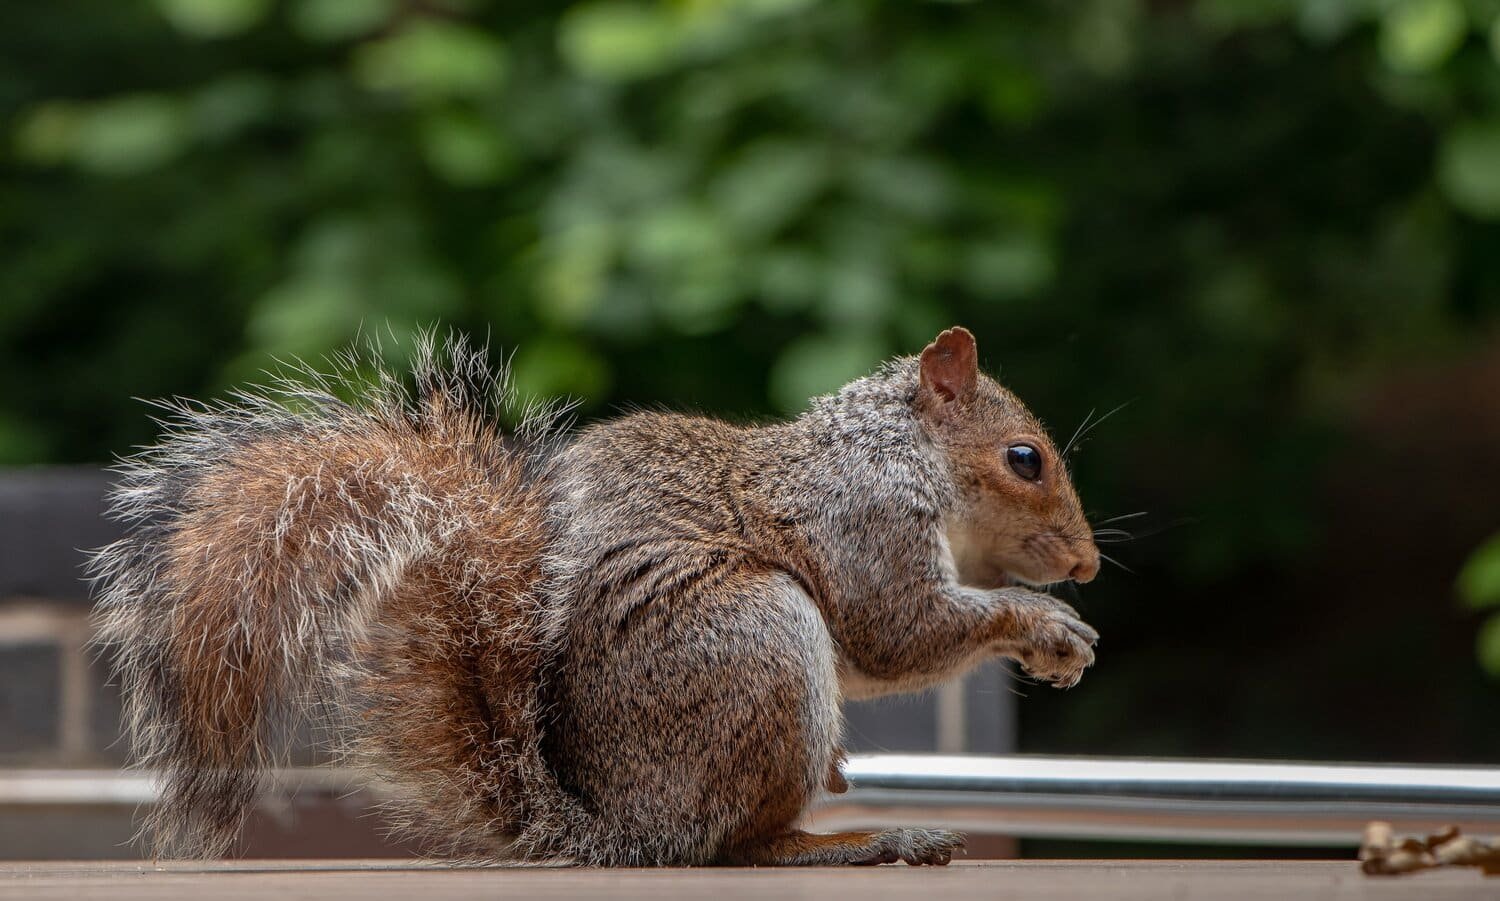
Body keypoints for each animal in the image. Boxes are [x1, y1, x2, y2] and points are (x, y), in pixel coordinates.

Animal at [89, 326, 1101, 867]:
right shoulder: (864, 518)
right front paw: (1049, 626)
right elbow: (897, 630)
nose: (1087, 565)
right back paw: (862, 840)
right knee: (740, 844)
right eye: (1024, 458)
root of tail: (628, 825)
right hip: (758, 635)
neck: (897, 450)